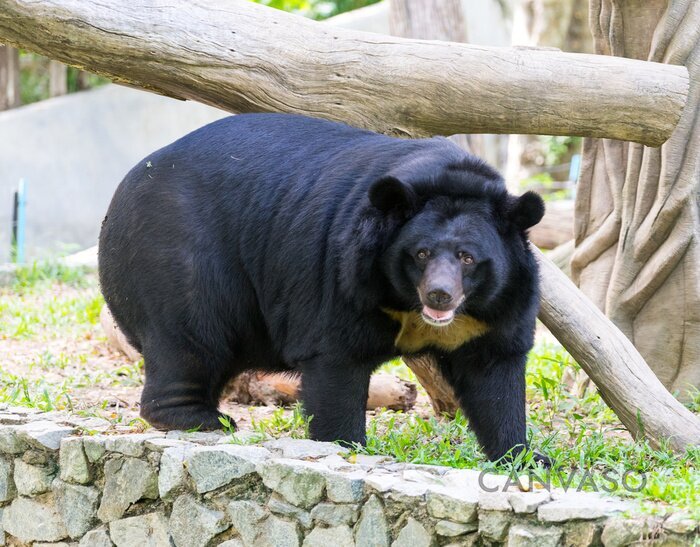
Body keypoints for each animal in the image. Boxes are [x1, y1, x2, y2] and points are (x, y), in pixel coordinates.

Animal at [100, 113, 548, 464]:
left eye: (467, 257)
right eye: (421, 253)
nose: (439, 295)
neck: (407, 302)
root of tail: (126, 185)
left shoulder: (497, 305)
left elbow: (494, 373)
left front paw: (525, 457)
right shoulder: (345, 275)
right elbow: (335, 359)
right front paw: (345, 445)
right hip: (179, 253)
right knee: (191, 334)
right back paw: (201, 419)